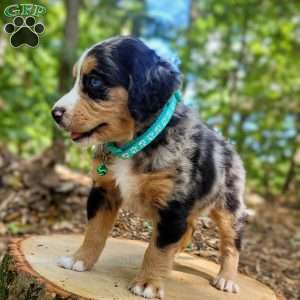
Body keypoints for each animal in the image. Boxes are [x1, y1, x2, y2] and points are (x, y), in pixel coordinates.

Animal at [52, 35, 247, 298]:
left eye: (94, 81)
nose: (54, 113)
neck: (133, 144)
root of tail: (230, 146)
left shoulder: (173, 204)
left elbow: (159, 248)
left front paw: (148, 283)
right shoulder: (104, 190)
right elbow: (94, 231)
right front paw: (79, 260)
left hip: (229, 206)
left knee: (231, 243)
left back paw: (226, 278)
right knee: (188, 230)